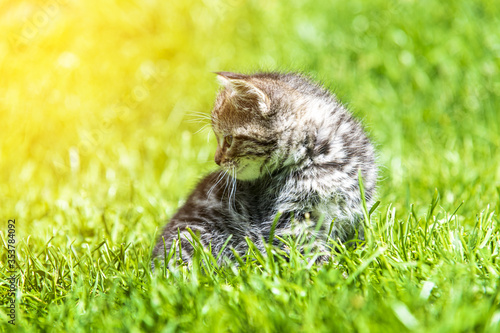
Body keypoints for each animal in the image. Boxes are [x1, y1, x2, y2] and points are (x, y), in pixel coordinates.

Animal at [150, 70, 376, 268]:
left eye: (229, 139)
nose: (217, 160)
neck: (320, 160)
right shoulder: (287, 220)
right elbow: (309, 250)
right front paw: (331, 271)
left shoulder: (358, 208)